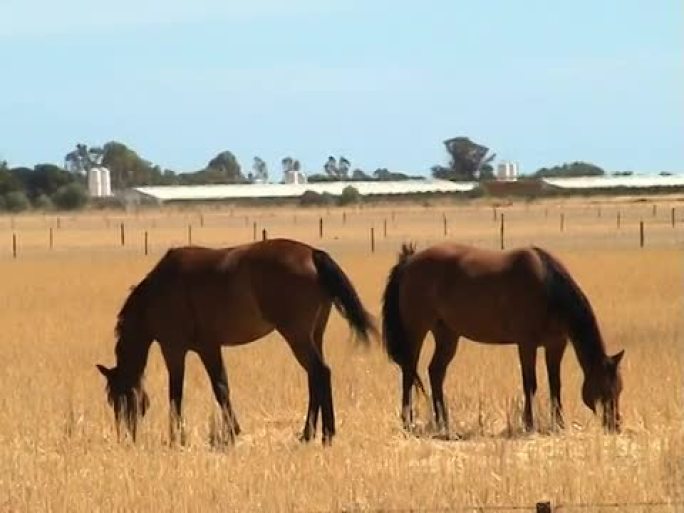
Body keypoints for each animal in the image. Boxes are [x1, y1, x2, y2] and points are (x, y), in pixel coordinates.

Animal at [96, 239, 374, 444]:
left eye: (118, 398)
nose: (125, 437)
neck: (157, 293)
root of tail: (312, 254)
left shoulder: (178, 349)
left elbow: (184, 392)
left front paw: (179, 438)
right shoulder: (207, 348)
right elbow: (221, 387)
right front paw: (231, 431)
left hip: (297, 336)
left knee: (320, 373)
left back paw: (325, 434)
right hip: (314, 335)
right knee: (315, 377)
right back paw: (310, 434)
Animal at [384, 242, 624, 434]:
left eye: (619, 388)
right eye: (605, 388)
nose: (615, 425)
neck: (547, 288)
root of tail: (409, 262)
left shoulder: (556, 345)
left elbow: (555, 384)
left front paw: (559, 424)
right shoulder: (526, 344)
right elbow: (530, 383)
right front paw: (529, 424)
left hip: (447, 334)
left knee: (435, 372)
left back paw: (444, 423)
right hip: (417, 330)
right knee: (409, 372)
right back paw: (408, 422)